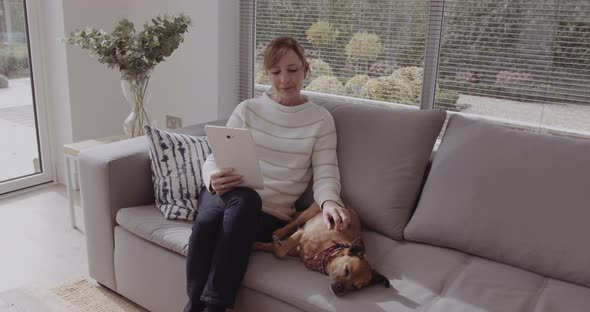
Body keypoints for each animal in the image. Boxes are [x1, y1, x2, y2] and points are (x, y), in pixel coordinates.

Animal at [252, 202, 390, 294]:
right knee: (293, 222)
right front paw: (274, 243)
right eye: (346, 270)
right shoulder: (301, 234)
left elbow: (278, 250)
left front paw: (261, 245)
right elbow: (281, 252)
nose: (340, 289)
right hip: (308, 213)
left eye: (354, 287)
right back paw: (280, 232)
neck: (328, 250)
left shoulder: (295, 249)